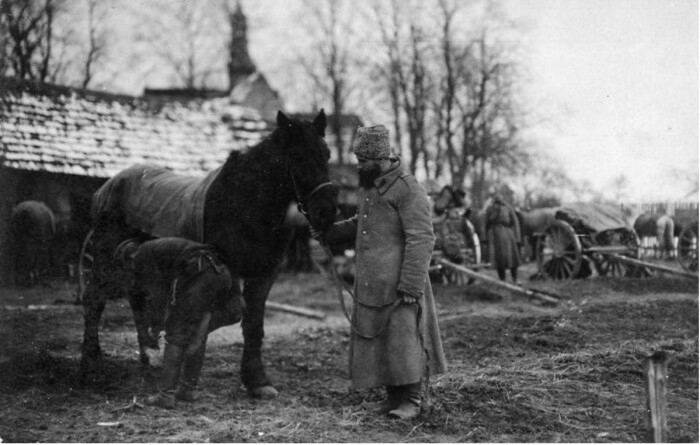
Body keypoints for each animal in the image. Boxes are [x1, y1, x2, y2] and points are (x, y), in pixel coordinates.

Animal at [80, 110, 338, 396]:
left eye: (327, 154)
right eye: (297, 156)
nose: (327, 213)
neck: (245, 201)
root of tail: (107, 187)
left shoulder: (264, 273)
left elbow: (253, 324)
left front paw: (257, 381)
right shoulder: (225, 268)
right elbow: (234, 311)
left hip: (138, 258)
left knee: (136, 297)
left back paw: (149, 356)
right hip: (104, 259)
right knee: (94, 301)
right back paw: (92, 368)